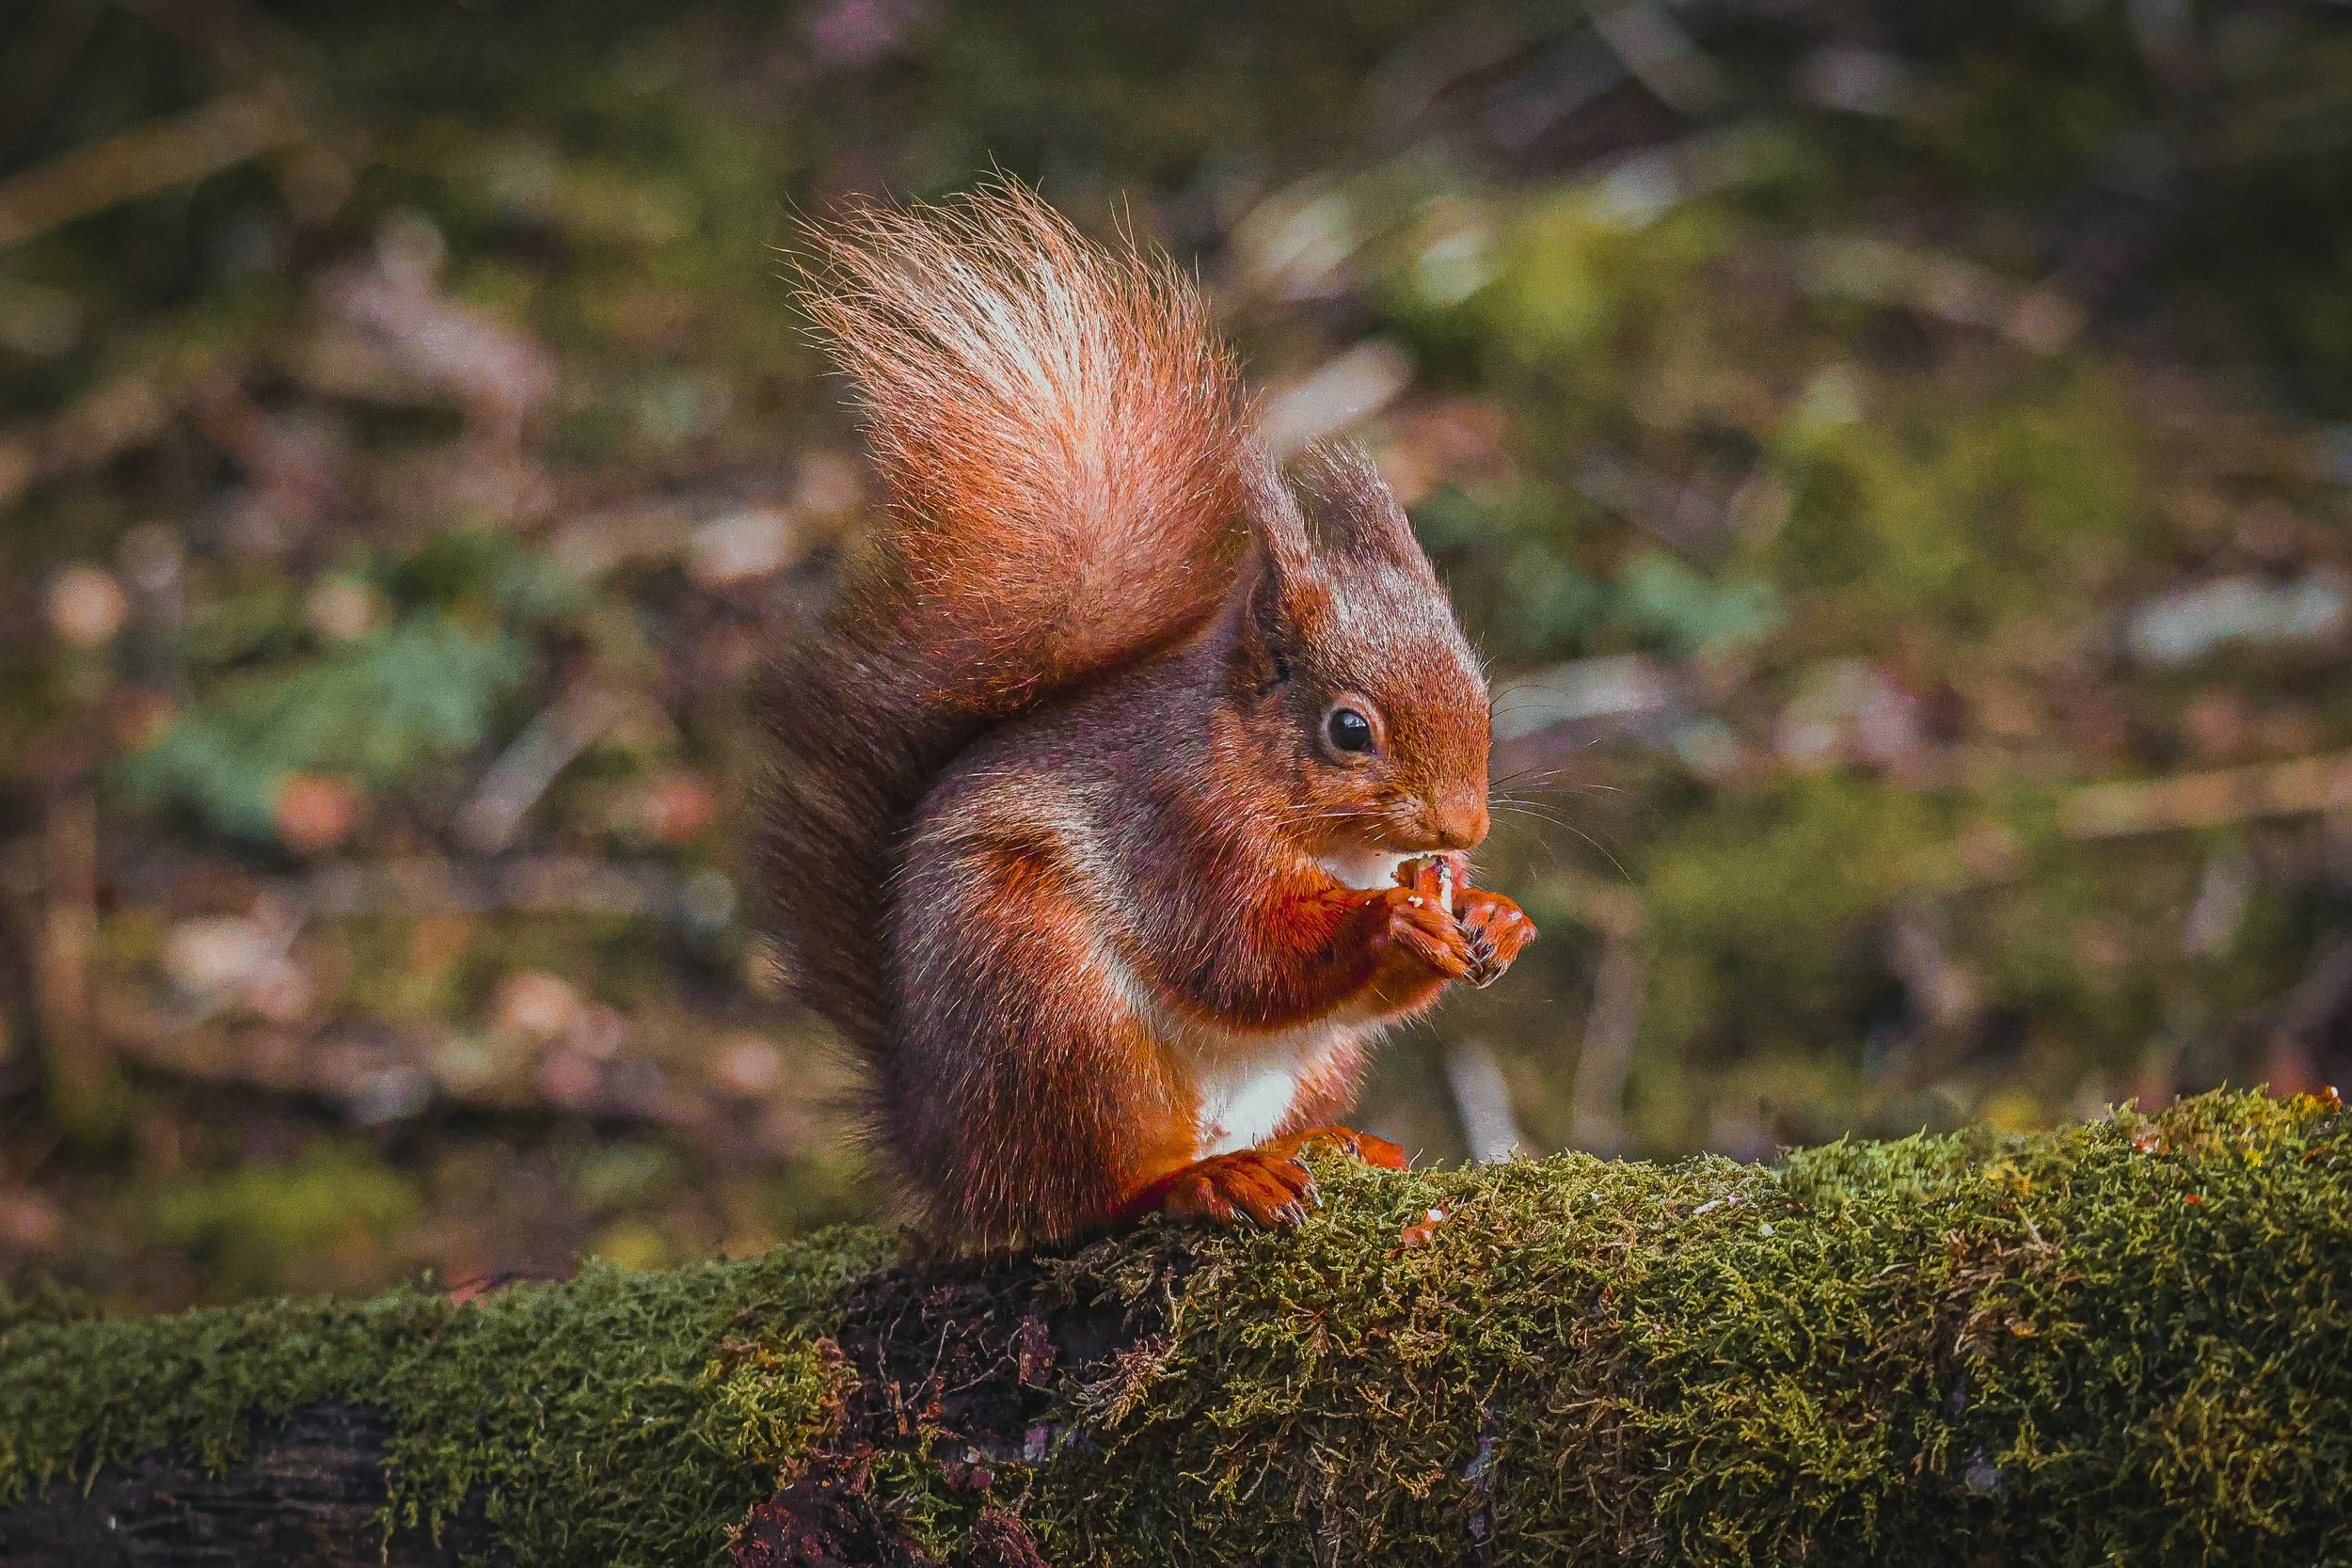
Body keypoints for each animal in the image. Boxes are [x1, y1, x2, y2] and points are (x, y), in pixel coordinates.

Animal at [760, 185, 1535, 1250]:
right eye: (1349, 729)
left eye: (1480, 693)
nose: (1466, 826)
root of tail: (948, 1162)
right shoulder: (1179, 829)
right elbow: (1240, 956)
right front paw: (1391, 919)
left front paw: (1490, 912)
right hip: (1053, 1014)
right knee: (1085, 1195)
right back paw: (1206, 1180)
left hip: (1295, 1061)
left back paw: (1326, 1142)